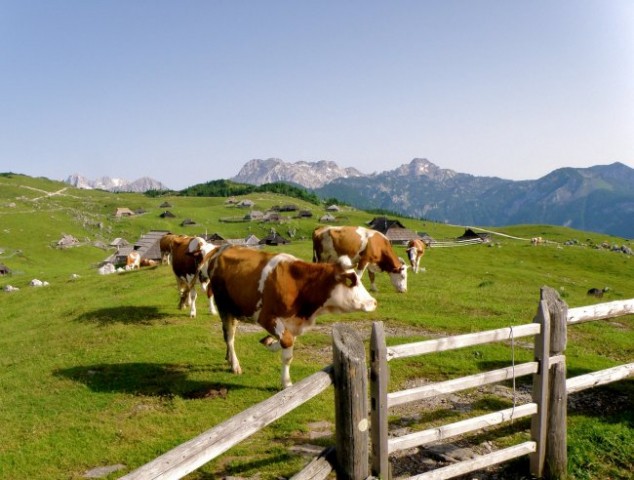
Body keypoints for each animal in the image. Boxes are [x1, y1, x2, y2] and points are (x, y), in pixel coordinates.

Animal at [206, 246, 376, 388]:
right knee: (229, 336)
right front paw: (286, 382)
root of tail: (221, 250)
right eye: (351, 281)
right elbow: (286, 342)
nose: (373, 302)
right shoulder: (266, 317)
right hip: (224, 307)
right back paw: (235, 365)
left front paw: (270, 343)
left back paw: (229, 358)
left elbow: (286, 347)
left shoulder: (294, 324)